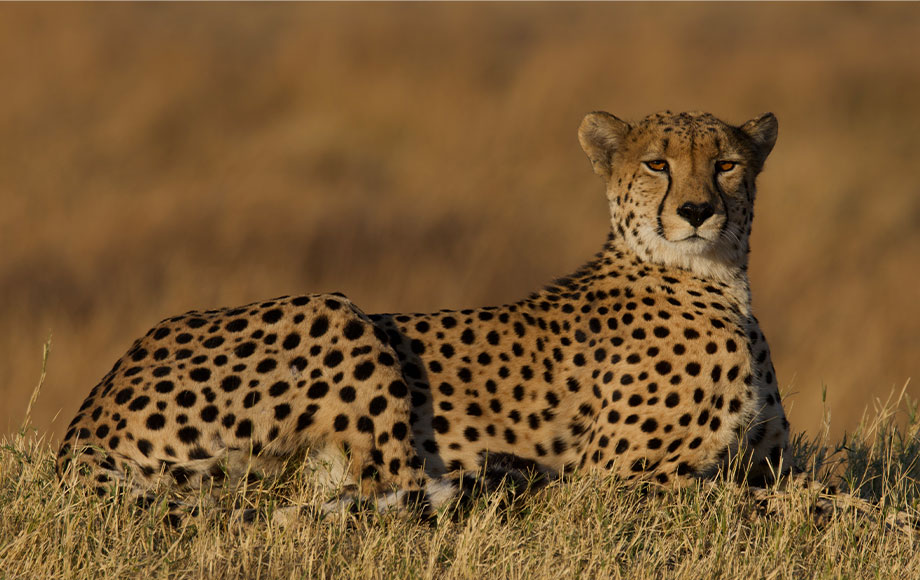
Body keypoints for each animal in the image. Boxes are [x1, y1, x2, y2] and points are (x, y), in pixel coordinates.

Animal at [57, 109, 796, 520]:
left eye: (728, 164)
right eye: (657, 164)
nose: (696, 211)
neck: (714, 275)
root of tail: (85, 425)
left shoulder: (767, 461)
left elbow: (785, 488)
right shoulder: (612, 482)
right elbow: (777, 502)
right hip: (335, 313)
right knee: (387, 493)